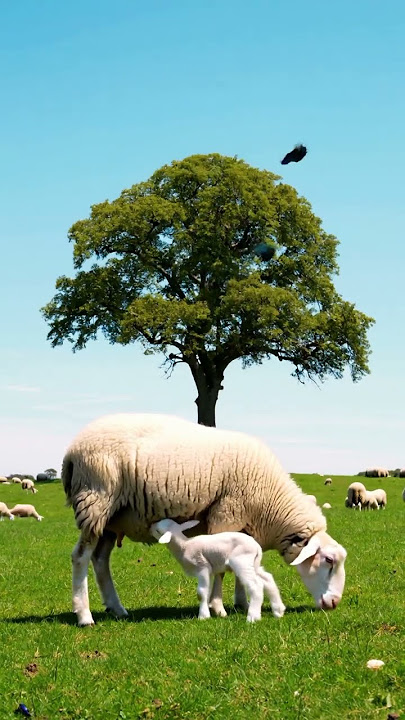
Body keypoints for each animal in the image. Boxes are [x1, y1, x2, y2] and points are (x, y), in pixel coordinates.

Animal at [150, 519, 286, 622]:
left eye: (158, 530)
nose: (150, 527)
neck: (184, 546)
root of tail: (257, 547)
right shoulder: (209, 570)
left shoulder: (202, 567)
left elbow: (201, 592)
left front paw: (203, 616)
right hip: (254, 563)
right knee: (268, 579)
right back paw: (278, 610)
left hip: (242, 562)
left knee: (255, 585)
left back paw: (253, 617)